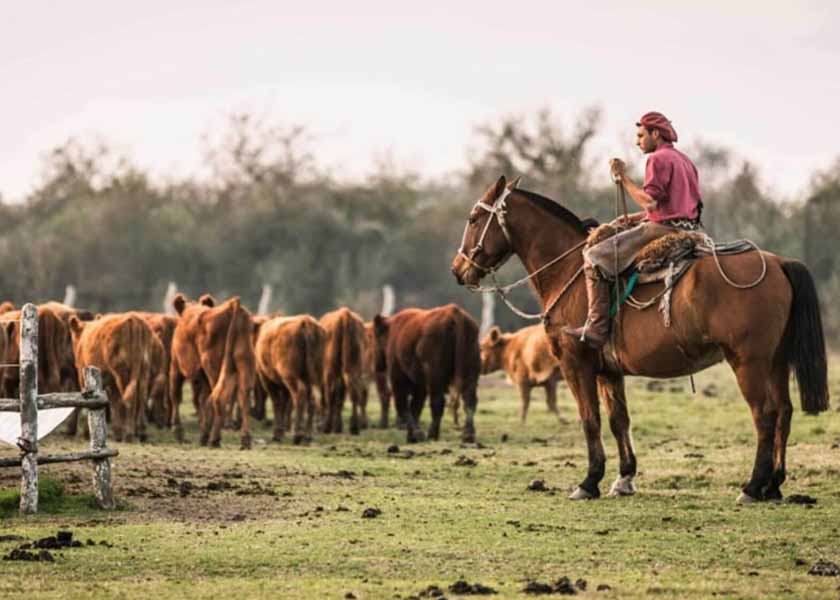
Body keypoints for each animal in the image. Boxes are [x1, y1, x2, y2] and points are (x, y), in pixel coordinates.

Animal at [68, 312, 154, 442]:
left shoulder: (84, 378)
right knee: (141, 396)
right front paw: (117, 431)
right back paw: (141, 432)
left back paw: (129, 434)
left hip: (122, 373)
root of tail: (133, 318)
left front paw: (87, 433)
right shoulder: (111, 382)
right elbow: (115, 401)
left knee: (131, 398)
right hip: (143, 370)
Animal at [167, 292, 253, 448]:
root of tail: (232, 304)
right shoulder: (202, 377)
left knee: (220, 398)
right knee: (244, 397)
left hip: (214, 368)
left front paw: (178, 431)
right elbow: (202, 399)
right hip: (245, 363)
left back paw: (214, 439)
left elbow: (175, 395)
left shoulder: (175, 366)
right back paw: (245, 439)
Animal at [372, 304, 482, 440]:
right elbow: (416, 407)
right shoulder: (420, 385)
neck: (392, 329)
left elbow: (404, 405)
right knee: (469, 400)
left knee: (437, 401)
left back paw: (432, 433)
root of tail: (454, 313)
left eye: (375, 337)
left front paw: (415, 434)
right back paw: (468, 434)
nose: (377, 365)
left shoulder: (398, 378)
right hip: (470, 371)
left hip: (434, 375)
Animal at [452, 177, 828, 502]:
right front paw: (624, 478)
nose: (458, 269)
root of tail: (779, 262)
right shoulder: (609, 371)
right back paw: (774, 485)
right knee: (784, 412)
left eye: (473, 218)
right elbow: (619, 420)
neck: (570, 271)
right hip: (776, 361)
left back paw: (752, 486)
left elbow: (590, 420)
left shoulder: (577, 365)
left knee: (764, 414)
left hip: (748, 362)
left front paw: (589, 481)